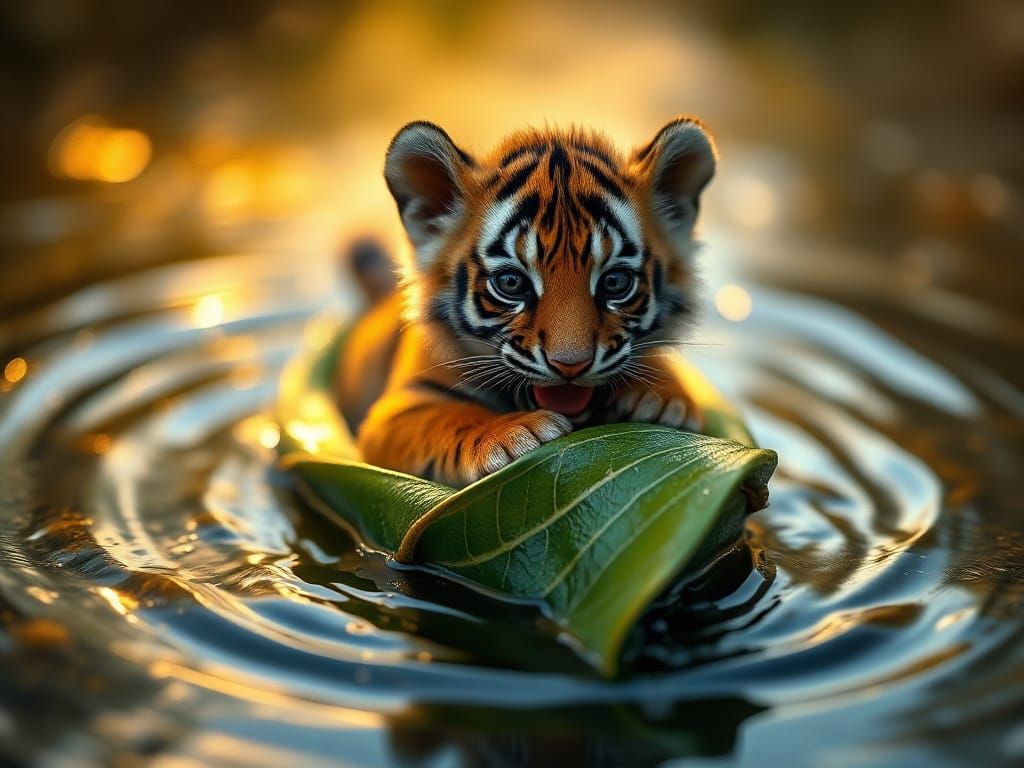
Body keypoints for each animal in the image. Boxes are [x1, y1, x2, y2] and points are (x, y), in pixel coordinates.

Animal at [335, 117, 717, 487]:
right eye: (511, 283)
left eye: (615, 282)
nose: (571, 366)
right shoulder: (398, 410)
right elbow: (449, 416)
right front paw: (514, 432)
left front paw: (660, 399)